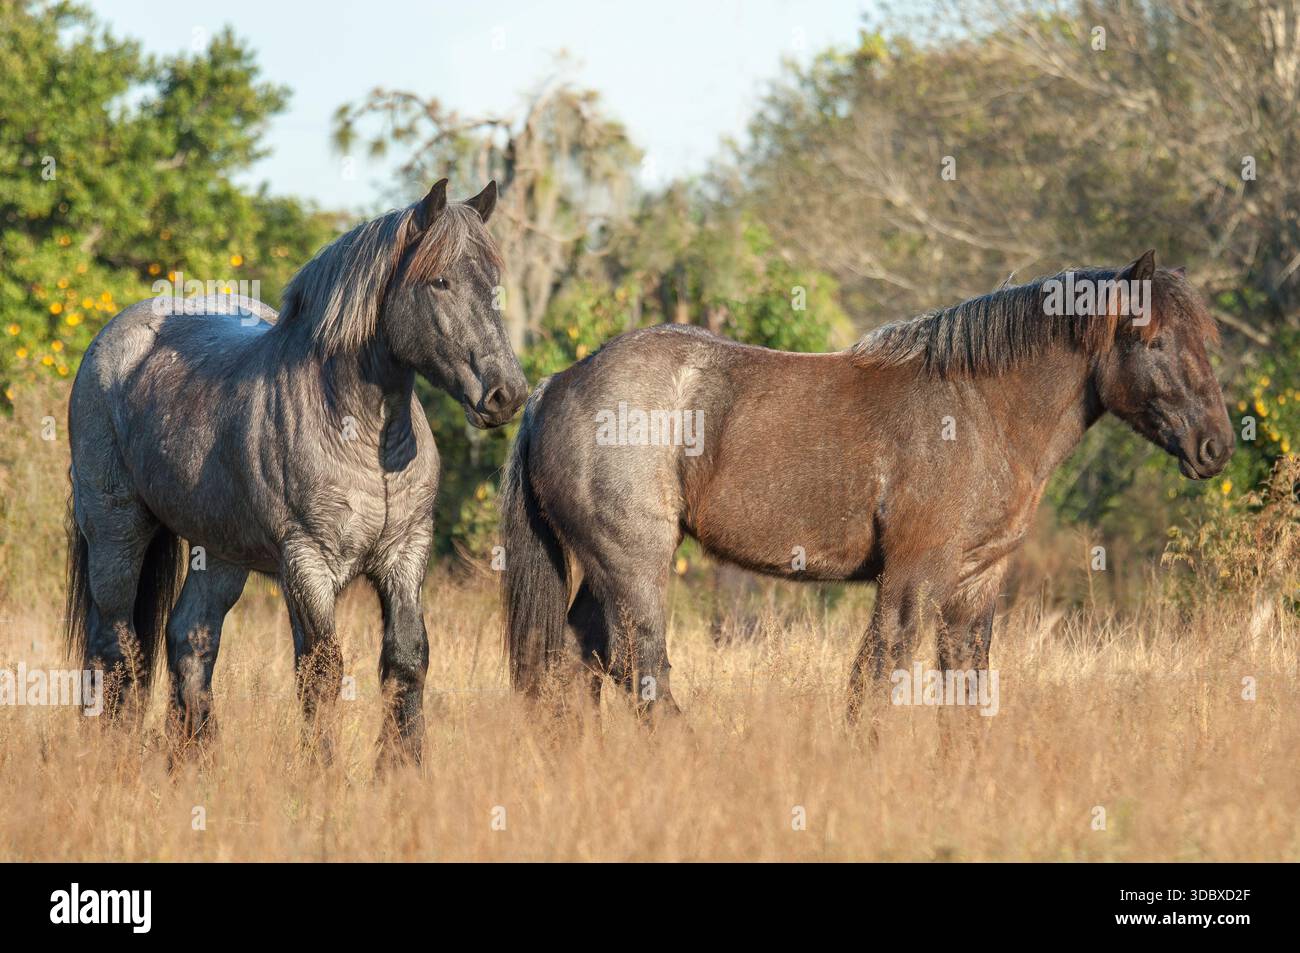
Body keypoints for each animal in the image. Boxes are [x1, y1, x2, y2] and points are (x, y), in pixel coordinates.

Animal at [65, 179, 527, 762]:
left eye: (492, 282)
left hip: (219, 553)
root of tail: (111, 340)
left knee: (191, 640)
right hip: (116, 534)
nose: (506, 394)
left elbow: (407, 660)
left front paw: (402, 768)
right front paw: (321, 772)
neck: (364, 436)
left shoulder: (405, 554)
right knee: (116, 647)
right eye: (440, 281)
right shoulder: (307, 562)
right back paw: (113, 754)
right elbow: (321, 671)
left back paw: (195, 762)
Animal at [500, 251, 1234, 721]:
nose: (1216, 446)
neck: (978, 408)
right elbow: (876, 682)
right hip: (635, 563)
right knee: (638, 667)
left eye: (1207, 337)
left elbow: (964, 694)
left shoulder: (975, 584)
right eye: (1154, 340)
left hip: (606, 570)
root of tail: (552, 388)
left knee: (574, 666)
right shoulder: (913, 576)